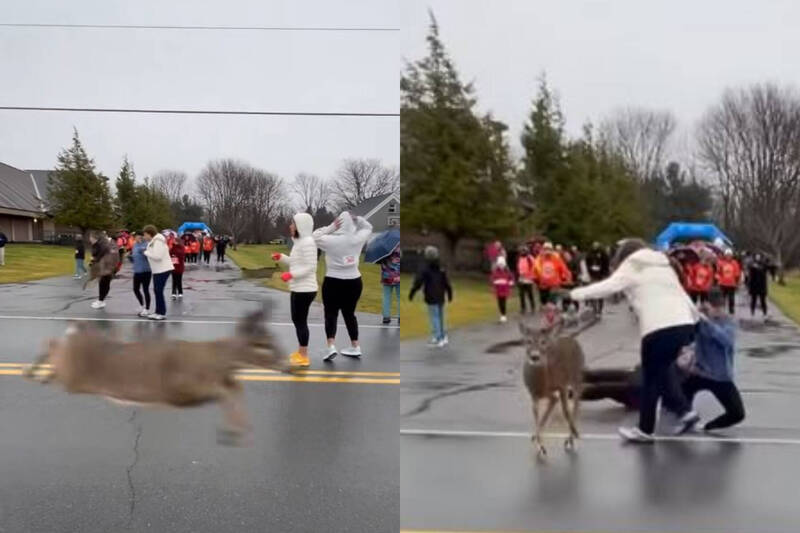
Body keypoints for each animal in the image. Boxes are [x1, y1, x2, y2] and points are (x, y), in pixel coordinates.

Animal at [23, 304, 290, 444]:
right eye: (264, 345)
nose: (288, 366)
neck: (215, 360)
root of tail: (78, 329)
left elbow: (235, 387)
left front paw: (235, 431)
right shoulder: (179, 388)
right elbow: (224, 390)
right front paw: (232, 431)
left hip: (72, 373)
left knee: (53, 345)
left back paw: (39, 374)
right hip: (73, 376)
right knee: (51, 345)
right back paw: (31, 372)